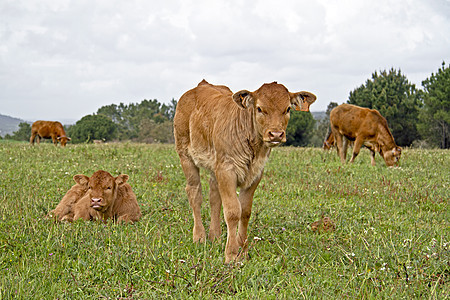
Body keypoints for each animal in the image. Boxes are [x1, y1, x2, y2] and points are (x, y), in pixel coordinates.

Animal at [172, 79, 316, 262]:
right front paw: (232, 254)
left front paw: (243, 250)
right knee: (194, 193)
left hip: (214, 165)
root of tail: (201, 85)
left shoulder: (255, 174)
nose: (276, 134)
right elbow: (233, 211)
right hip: (185, 156)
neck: (253, 148)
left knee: (214, 197)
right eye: (259, 108)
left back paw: (215, 237)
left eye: (288, 109)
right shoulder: (227, 170)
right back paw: (199, 237)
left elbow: (245, 212)